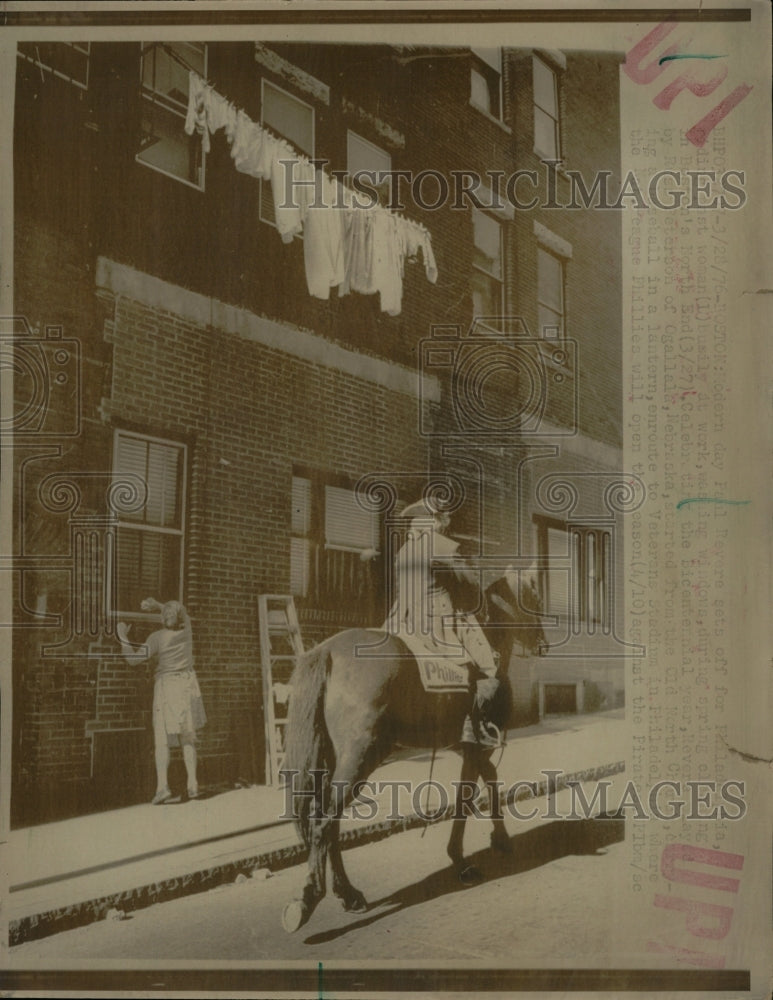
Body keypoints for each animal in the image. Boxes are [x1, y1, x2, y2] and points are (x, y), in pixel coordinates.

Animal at [278, 568, 544, 932]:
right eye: (535, 598)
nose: (542, 643)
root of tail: (329, 651)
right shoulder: (476, 745)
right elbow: (468, 795)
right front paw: (462, 858)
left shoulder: (464, 746)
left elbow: (487, 779)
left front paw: (497, 838)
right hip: (362, 755)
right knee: (325, 821)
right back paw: (308, 900)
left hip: (333, 759)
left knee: (329, 823)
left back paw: (349, 895)